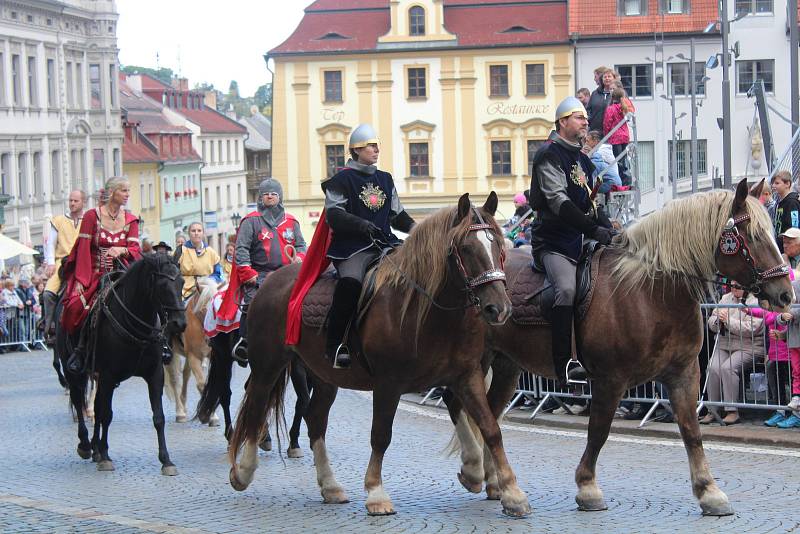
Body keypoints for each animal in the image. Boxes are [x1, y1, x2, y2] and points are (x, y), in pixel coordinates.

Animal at [56, 255, 188, 478]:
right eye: (162, 286)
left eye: (182, 282)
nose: (180, 323)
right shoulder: (108, 375)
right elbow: (106, 415)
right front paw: (105, 456)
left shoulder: (154, 375)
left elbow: (158, 417)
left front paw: (166, 461)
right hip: (74, 372)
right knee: (78, 400)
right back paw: (86, 445)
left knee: (96, 406)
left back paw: (95, 448)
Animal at [166, 280, 220, 428]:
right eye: (203, 310)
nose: (211, 338)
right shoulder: (193, 357)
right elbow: (202, 384)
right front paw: (210, 416)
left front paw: (212, 416)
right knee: (175, 379)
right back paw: (180, 413)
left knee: (185, 375)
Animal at [227, 195, 532, 516]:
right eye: (466, 248)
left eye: (498, 246)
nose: (499, 309)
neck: (425, 311)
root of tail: (271, 281)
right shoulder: (388, 383)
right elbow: (381, 434)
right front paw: (376, 493)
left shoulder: (466, 376)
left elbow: (490, 428)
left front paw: (507, 490)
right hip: (268, 364)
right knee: (256, 407)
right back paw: (244, 471)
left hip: (324, 376)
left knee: (315, 419)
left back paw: (330, 486)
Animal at [446, 180, 792, 520]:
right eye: (754, 235)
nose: (786, 295)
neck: (650, 292)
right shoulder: (611, 379)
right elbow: (598, 431)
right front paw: (588, 488)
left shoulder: (684, 374)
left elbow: (691, 431)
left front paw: (710, 492)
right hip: (471, 361)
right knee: (458, 402)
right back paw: (476, 472)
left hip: (507, 365)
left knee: (488, 414)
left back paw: (496, 484)